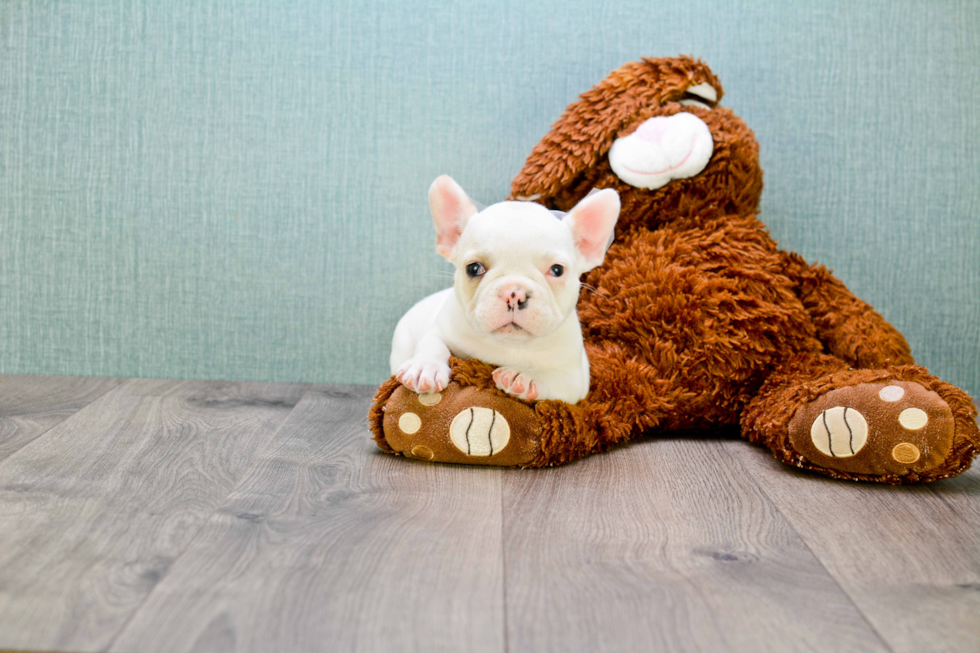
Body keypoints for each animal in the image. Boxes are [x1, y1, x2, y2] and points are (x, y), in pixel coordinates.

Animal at [390, 176, 620, 404]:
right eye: (474, 268)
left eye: (557, 270)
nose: (514, 293)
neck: (509, 344)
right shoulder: (441, 330)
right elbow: (433, 343)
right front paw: (425, 366)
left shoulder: (576, 378)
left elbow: (556, 378)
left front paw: (526, 377)